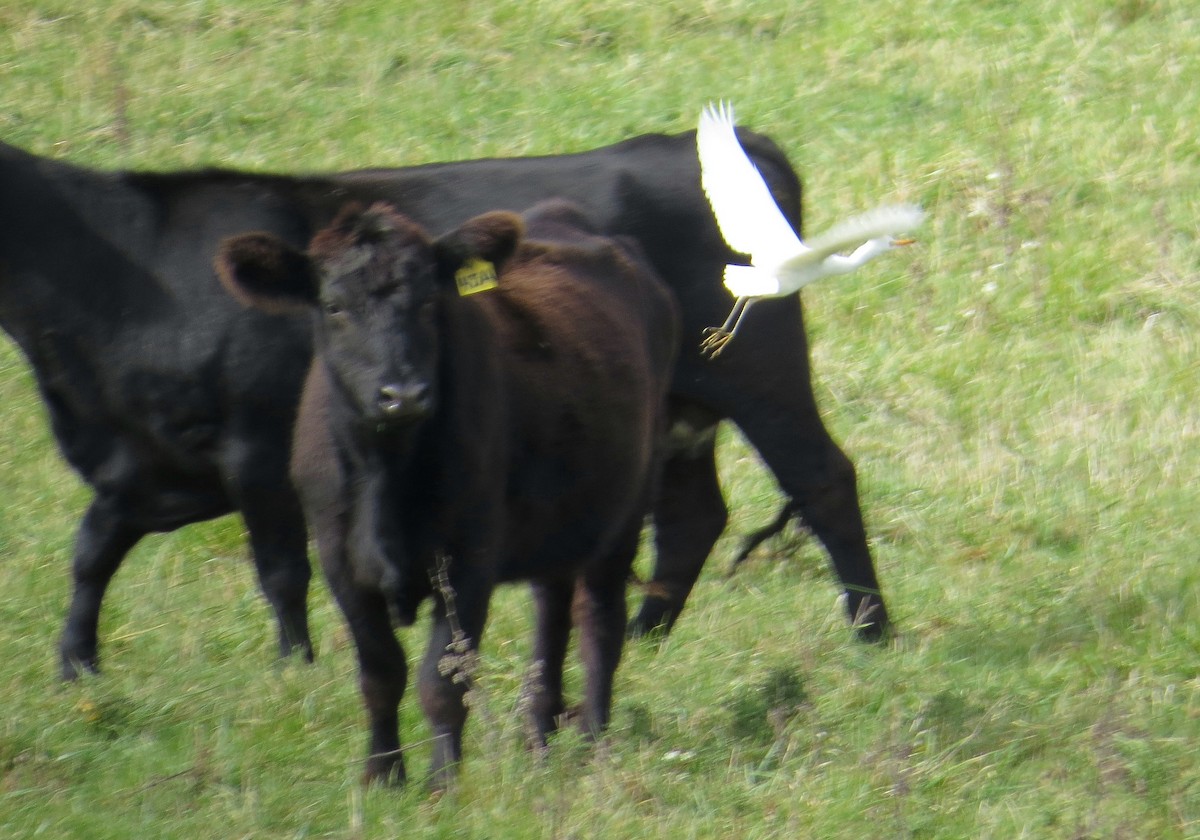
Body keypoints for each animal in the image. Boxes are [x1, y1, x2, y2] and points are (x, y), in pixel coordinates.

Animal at [0, 128, 889, 682]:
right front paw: (76, 668)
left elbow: (279, 572)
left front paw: (295, 669)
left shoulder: (254, 447)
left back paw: (873, 633)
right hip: (672, 404)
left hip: (759, 371)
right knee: (693, 515)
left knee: (821, 478)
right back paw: (646, 638)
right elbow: (92, 551)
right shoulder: (142, 462)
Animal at [215, 199, 679, 785]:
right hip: (558, 523)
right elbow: (380, 674)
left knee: (599, 620)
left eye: (430, 300)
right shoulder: (338, 560)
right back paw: (538, 736)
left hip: (626, 505)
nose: (403, 394)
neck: (385, 473)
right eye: (333, 305)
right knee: (552, 616)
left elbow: (442, 681)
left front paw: (443, 784)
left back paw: (593, 737)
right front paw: (382, 777)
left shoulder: (468, 559)